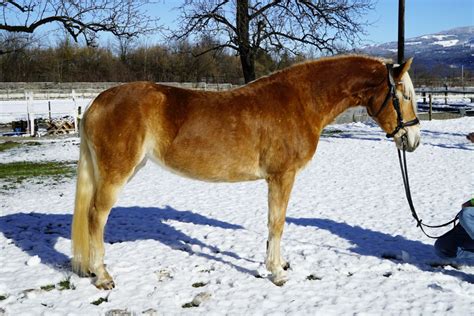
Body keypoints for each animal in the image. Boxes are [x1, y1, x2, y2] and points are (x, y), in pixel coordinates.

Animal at [70, 53, 418, 288]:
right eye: (403, 95)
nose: (412, 140)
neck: (300, 101)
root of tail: (96, 103)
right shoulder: (282, 176)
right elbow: (277, 222)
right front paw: (276, 272)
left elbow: (274, 223)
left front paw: (278, 264)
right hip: (116, 175)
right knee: (96, 216)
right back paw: (102, 276)